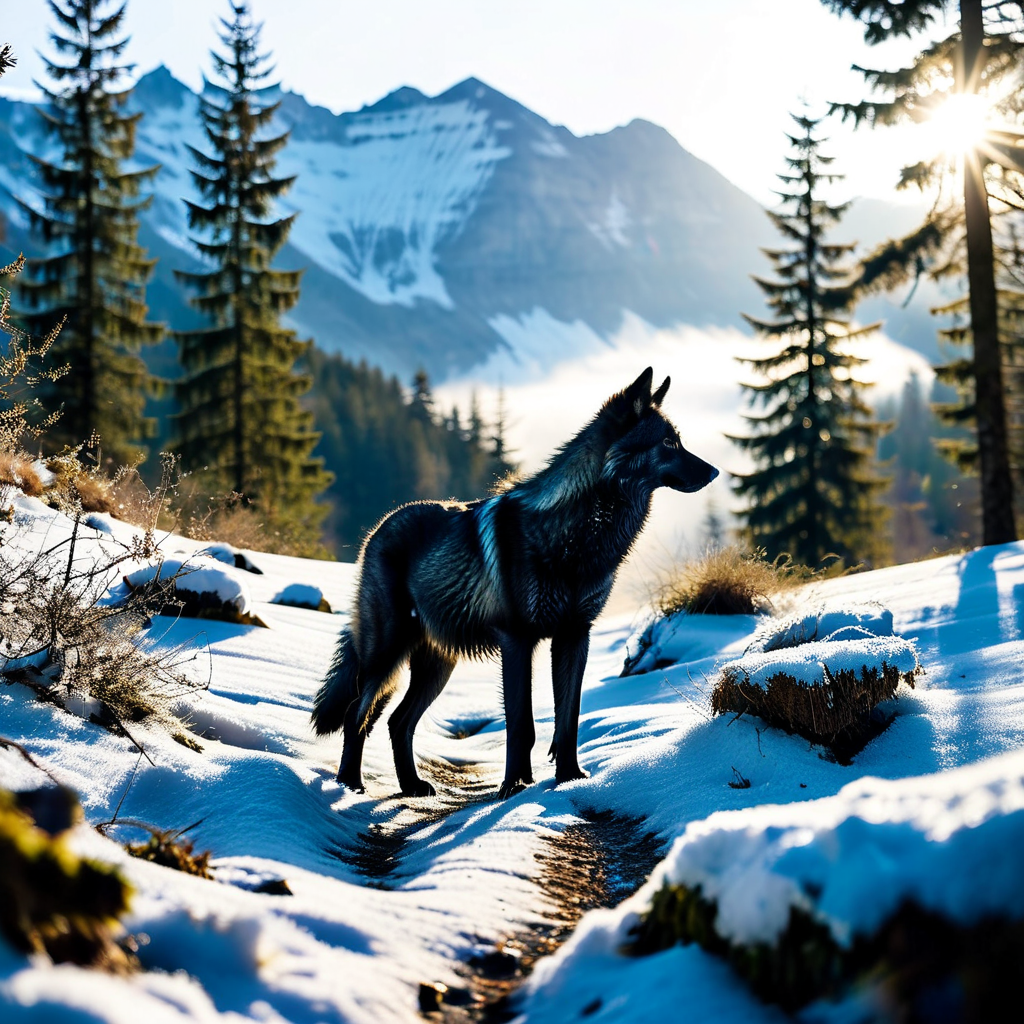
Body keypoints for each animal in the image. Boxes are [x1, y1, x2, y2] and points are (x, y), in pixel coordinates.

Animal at [312, 367, 718, 799]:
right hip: (386, 656)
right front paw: (514, 786)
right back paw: (349, 784)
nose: (714, 472)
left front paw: (569, 778)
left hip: (437, 666)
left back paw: (411, 786)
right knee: (357, 714)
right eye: (668, 443)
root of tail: (379, 528)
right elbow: (521, 723)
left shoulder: (575, 635)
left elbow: (568, 718)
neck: (580, 535)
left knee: (396, 721)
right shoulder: (517, 639)